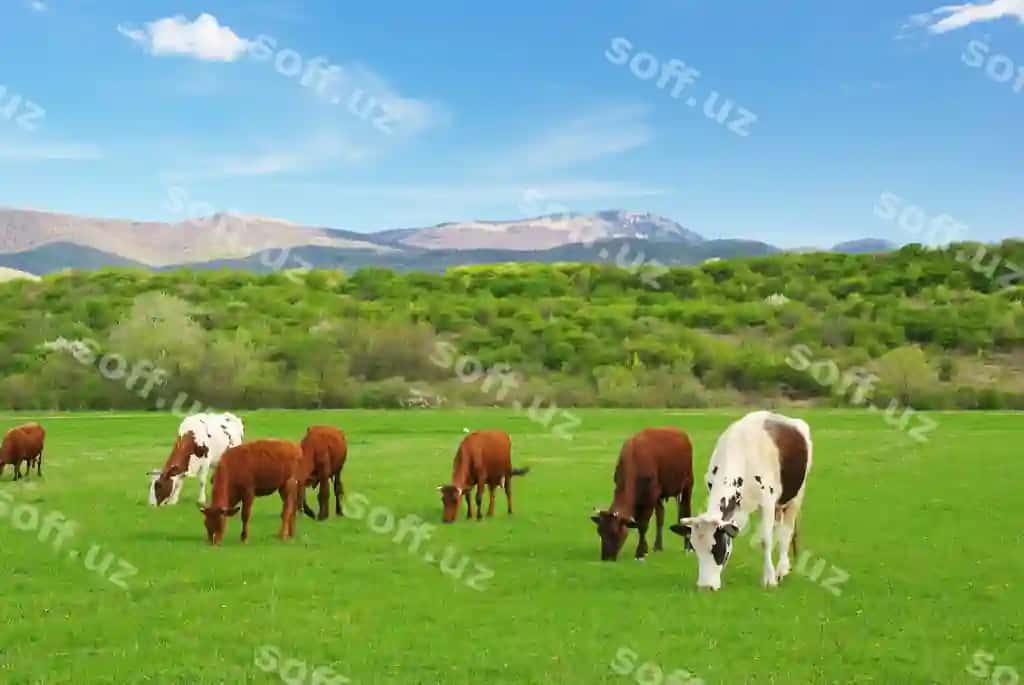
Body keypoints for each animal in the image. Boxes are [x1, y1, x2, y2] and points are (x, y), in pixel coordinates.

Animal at [590, 427, 694, 562]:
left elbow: (642, 525)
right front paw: (645, 549)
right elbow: (642, 522)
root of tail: (680, 432)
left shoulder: (650, 497)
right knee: (660, 516)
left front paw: (640, 553)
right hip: (660, 495)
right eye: (600, 532)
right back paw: (658, 546)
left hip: (687, 484)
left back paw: (688, 547)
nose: (606, 558)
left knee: (685, 512)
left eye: (615, 533)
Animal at [670, 410, 812, 591]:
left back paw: (781, 570)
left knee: (785, 532)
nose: (705, 587)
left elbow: (766, 540)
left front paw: (769, 579)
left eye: (717, 549)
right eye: (695, 549)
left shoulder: (767, 503)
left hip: (795, 495)